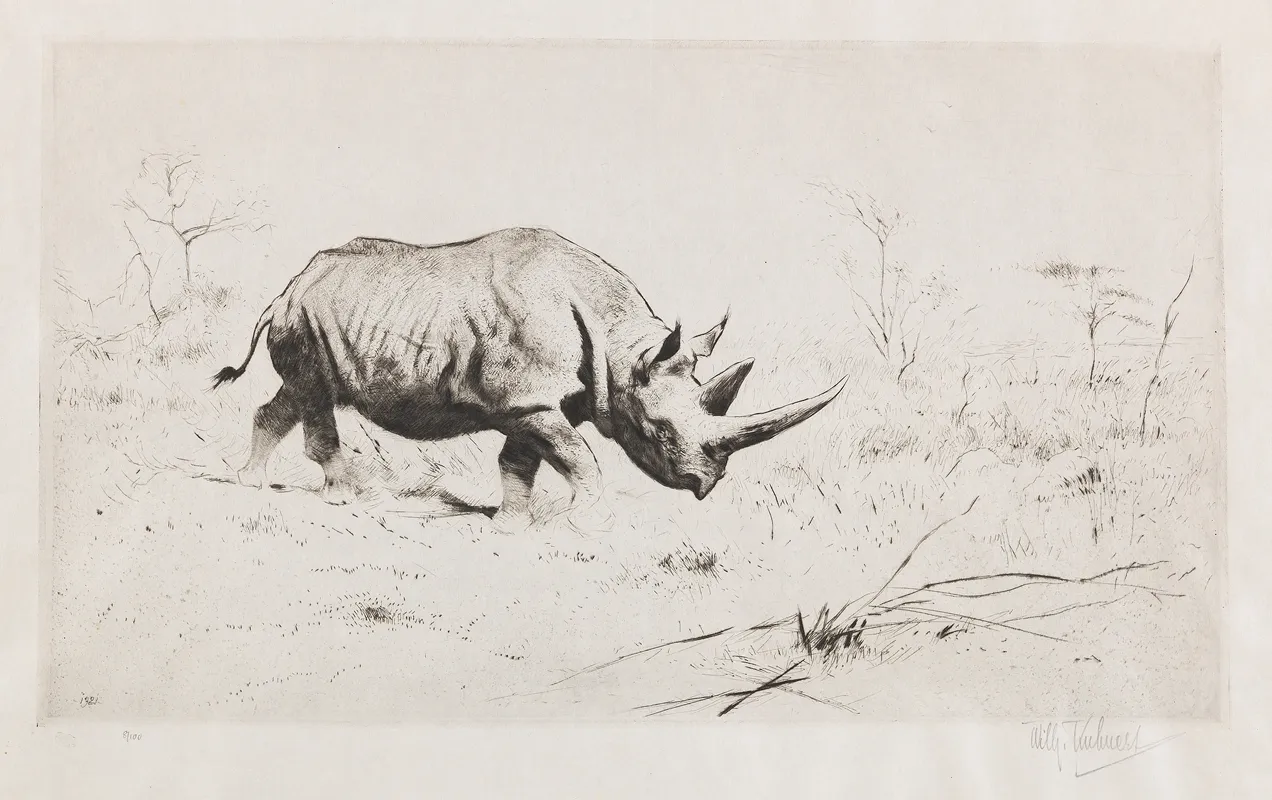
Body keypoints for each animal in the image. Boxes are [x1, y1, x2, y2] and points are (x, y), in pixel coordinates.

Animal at [212, 227, 846, 530]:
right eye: (660, 432)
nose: (707, 484)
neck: (623, 349)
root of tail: (289, 286)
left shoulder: (538, 403)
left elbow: (521, 461)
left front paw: (512, 528)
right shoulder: (528, 399)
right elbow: (581, 461)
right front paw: (588, 524)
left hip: (318, 316)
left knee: (294, 395)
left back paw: (250, 483)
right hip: (307, 319)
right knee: (315, 394)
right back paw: (352, 497)